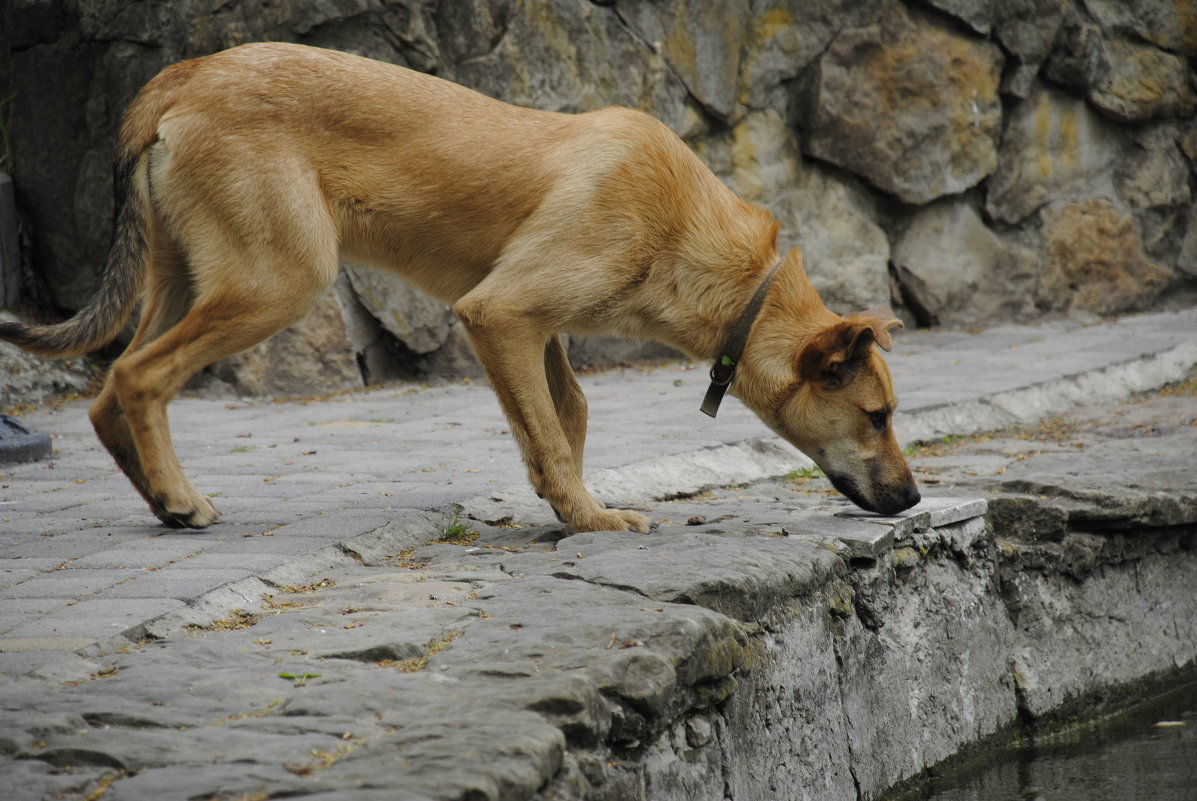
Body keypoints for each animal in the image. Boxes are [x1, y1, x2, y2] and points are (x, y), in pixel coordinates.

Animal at [0, 43, 919, 531]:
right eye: (875, 416)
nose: (912, 498)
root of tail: (184, 74)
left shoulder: (529, 330)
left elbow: (563, 419)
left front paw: (563, 502)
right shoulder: (502, 313)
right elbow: (553, 432)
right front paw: (588, 518)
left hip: (187, 281)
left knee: (108, 391)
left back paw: (161, 498)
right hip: (276, 283)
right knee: (139, 376)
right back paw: (181, 498)